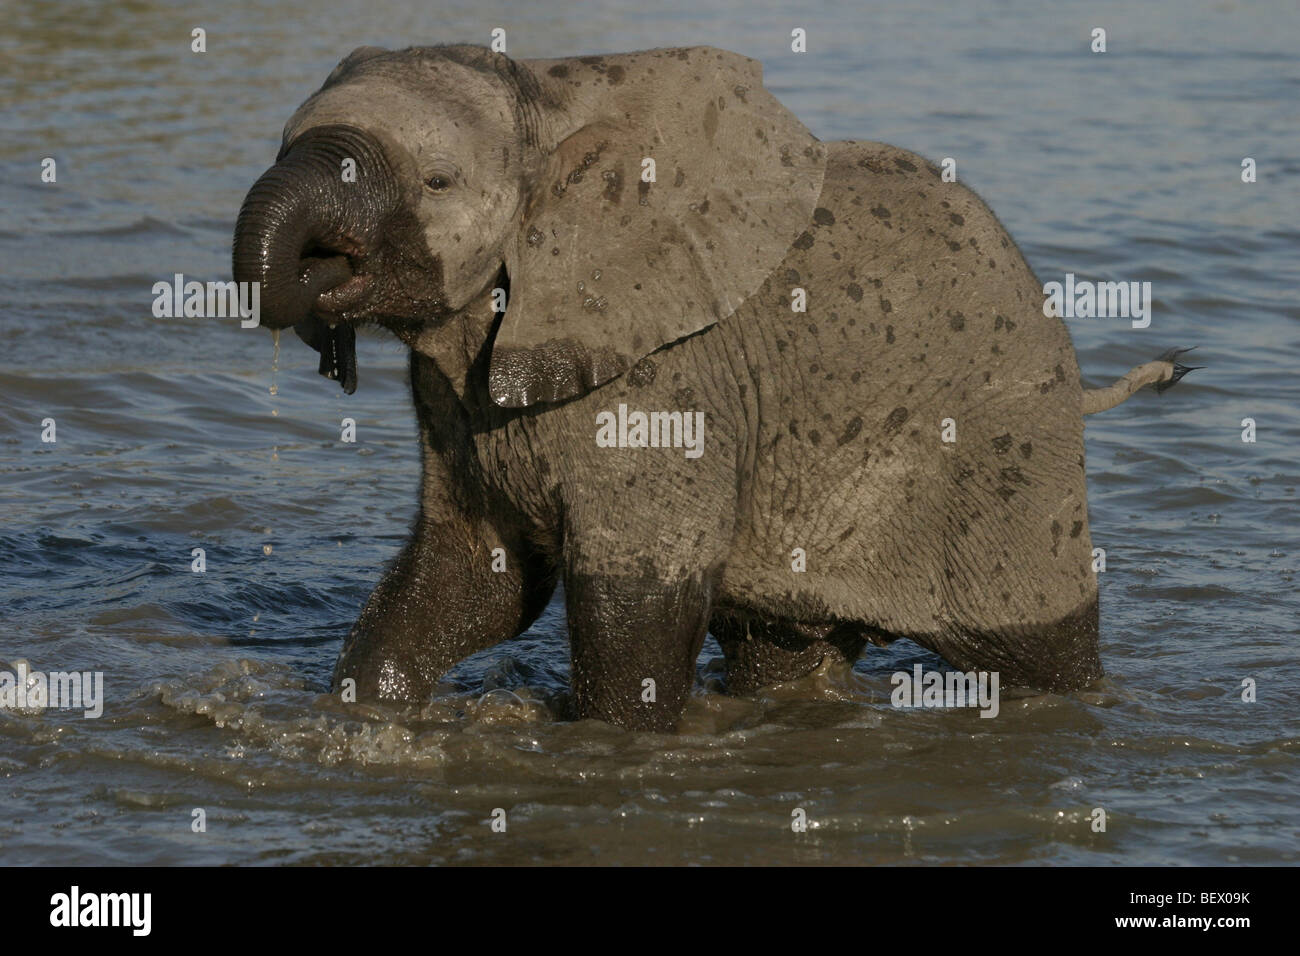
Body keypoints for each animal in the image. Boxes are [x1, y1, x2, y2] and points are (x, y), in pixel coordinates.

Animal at [228, 42, 1190, 733]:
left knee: (1037, 654)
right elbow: (473, 579)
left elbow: (634, 608)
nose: (311, 282)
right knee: (782, 650)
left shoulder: (665, 378)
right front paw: (359, 718)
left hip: (1011, 455)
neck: (548, 103)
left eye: (437, 182)